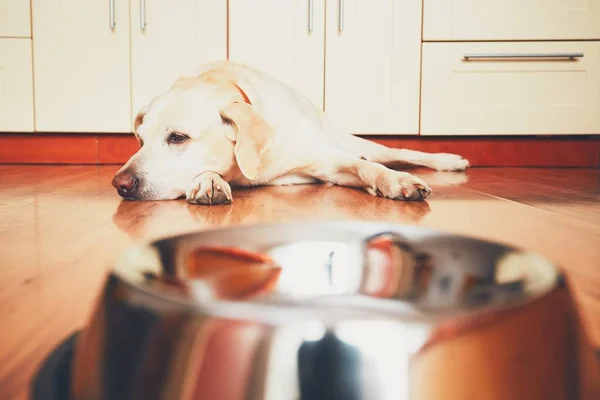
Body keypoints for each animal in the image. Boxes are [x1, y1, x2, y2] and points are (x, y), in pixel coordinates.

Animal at [111, 61, 468, 205]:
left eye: (178, 138)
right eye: (141, 140)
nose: (120, 184)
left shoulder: (329, 162)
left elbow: (368, 168)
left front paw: (396, 182)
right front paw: (208, 181)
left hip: (355, 142)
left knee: (397, 153)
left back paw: (451, 160)